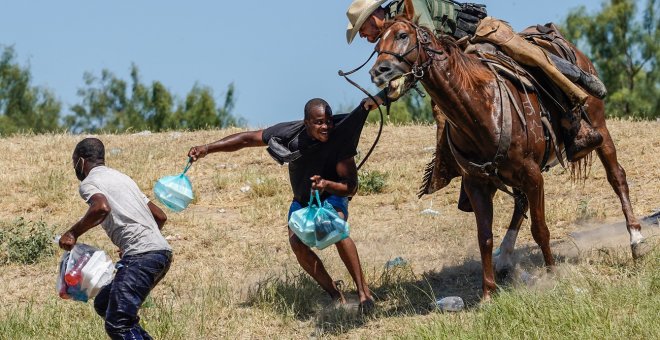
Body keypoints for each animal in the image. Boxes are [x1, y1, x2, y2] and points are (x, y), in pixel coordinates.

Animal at [368, 0, 648, 298]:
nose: (378, 72)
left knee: (617, 176)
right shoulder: (477, 183)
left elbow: (540, 229)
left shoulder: (533, 175)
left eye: (402, 35)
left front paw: (552, 275)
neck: (479, 108)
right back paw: (504, 257)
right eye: (377, 44)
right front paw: (488, 293)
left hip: (599, 128)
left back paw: (637, 239)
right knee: (520, 202)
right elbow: (485, 237)